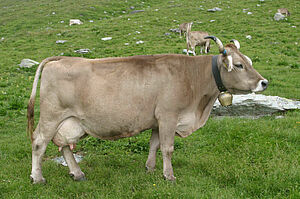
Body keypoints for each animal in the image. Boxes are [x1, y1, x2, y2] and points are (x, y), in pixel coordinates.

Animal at [27, 36, 268, 183]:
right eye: (239, 65)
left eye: (249, 61)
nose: (264, 82)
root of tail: (59, 59)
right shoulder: (169, 116)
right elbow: (168, 148)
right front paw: (169, 176)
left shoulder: (156, 120)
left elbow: (154, 145)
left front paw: (150, 169)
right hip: (51, 116)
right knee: (39, 143)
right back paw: (37, 178)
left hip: (70, 121)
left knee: (63, 145)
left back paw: (77, 173)